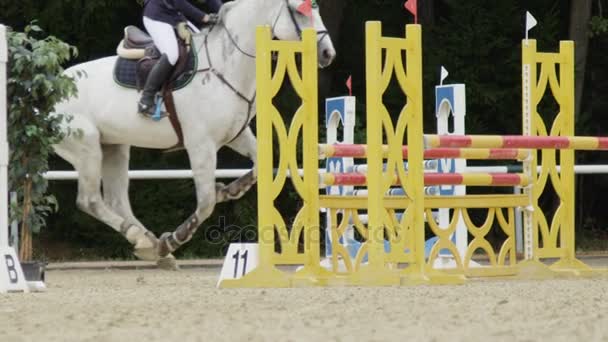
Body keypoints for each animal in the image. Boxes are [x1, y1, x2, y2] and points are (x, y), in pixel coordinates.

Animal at [52, 0, 334, 268]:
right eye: (298, 11)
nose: (328, 53)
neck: (226, 65)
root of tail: (53, 89)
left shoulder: (237, 135)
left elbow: (261, 165)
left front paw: (230, 190)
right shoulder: (201, 145)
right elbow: (207, 201)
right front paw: (178, 237)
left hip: (114, 147)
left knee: (116, 200)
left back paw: (151, 245)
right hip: (87, 148)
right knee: (90, 200)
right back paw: (148, 241)